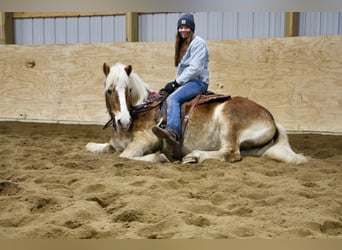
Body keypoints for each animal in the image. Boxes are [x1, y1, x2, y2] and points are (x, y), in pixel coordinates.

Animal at [85, 61, 308, 165]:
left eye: (128, 89)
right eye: (109, 90)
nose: (123, 120)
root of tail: (271, 118)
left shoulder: (146, 139)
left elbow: (124, 156)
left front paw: (158, 157)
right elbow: (94, 147)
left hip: (229, 123)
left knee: (230, 152)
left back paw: (194, 155)